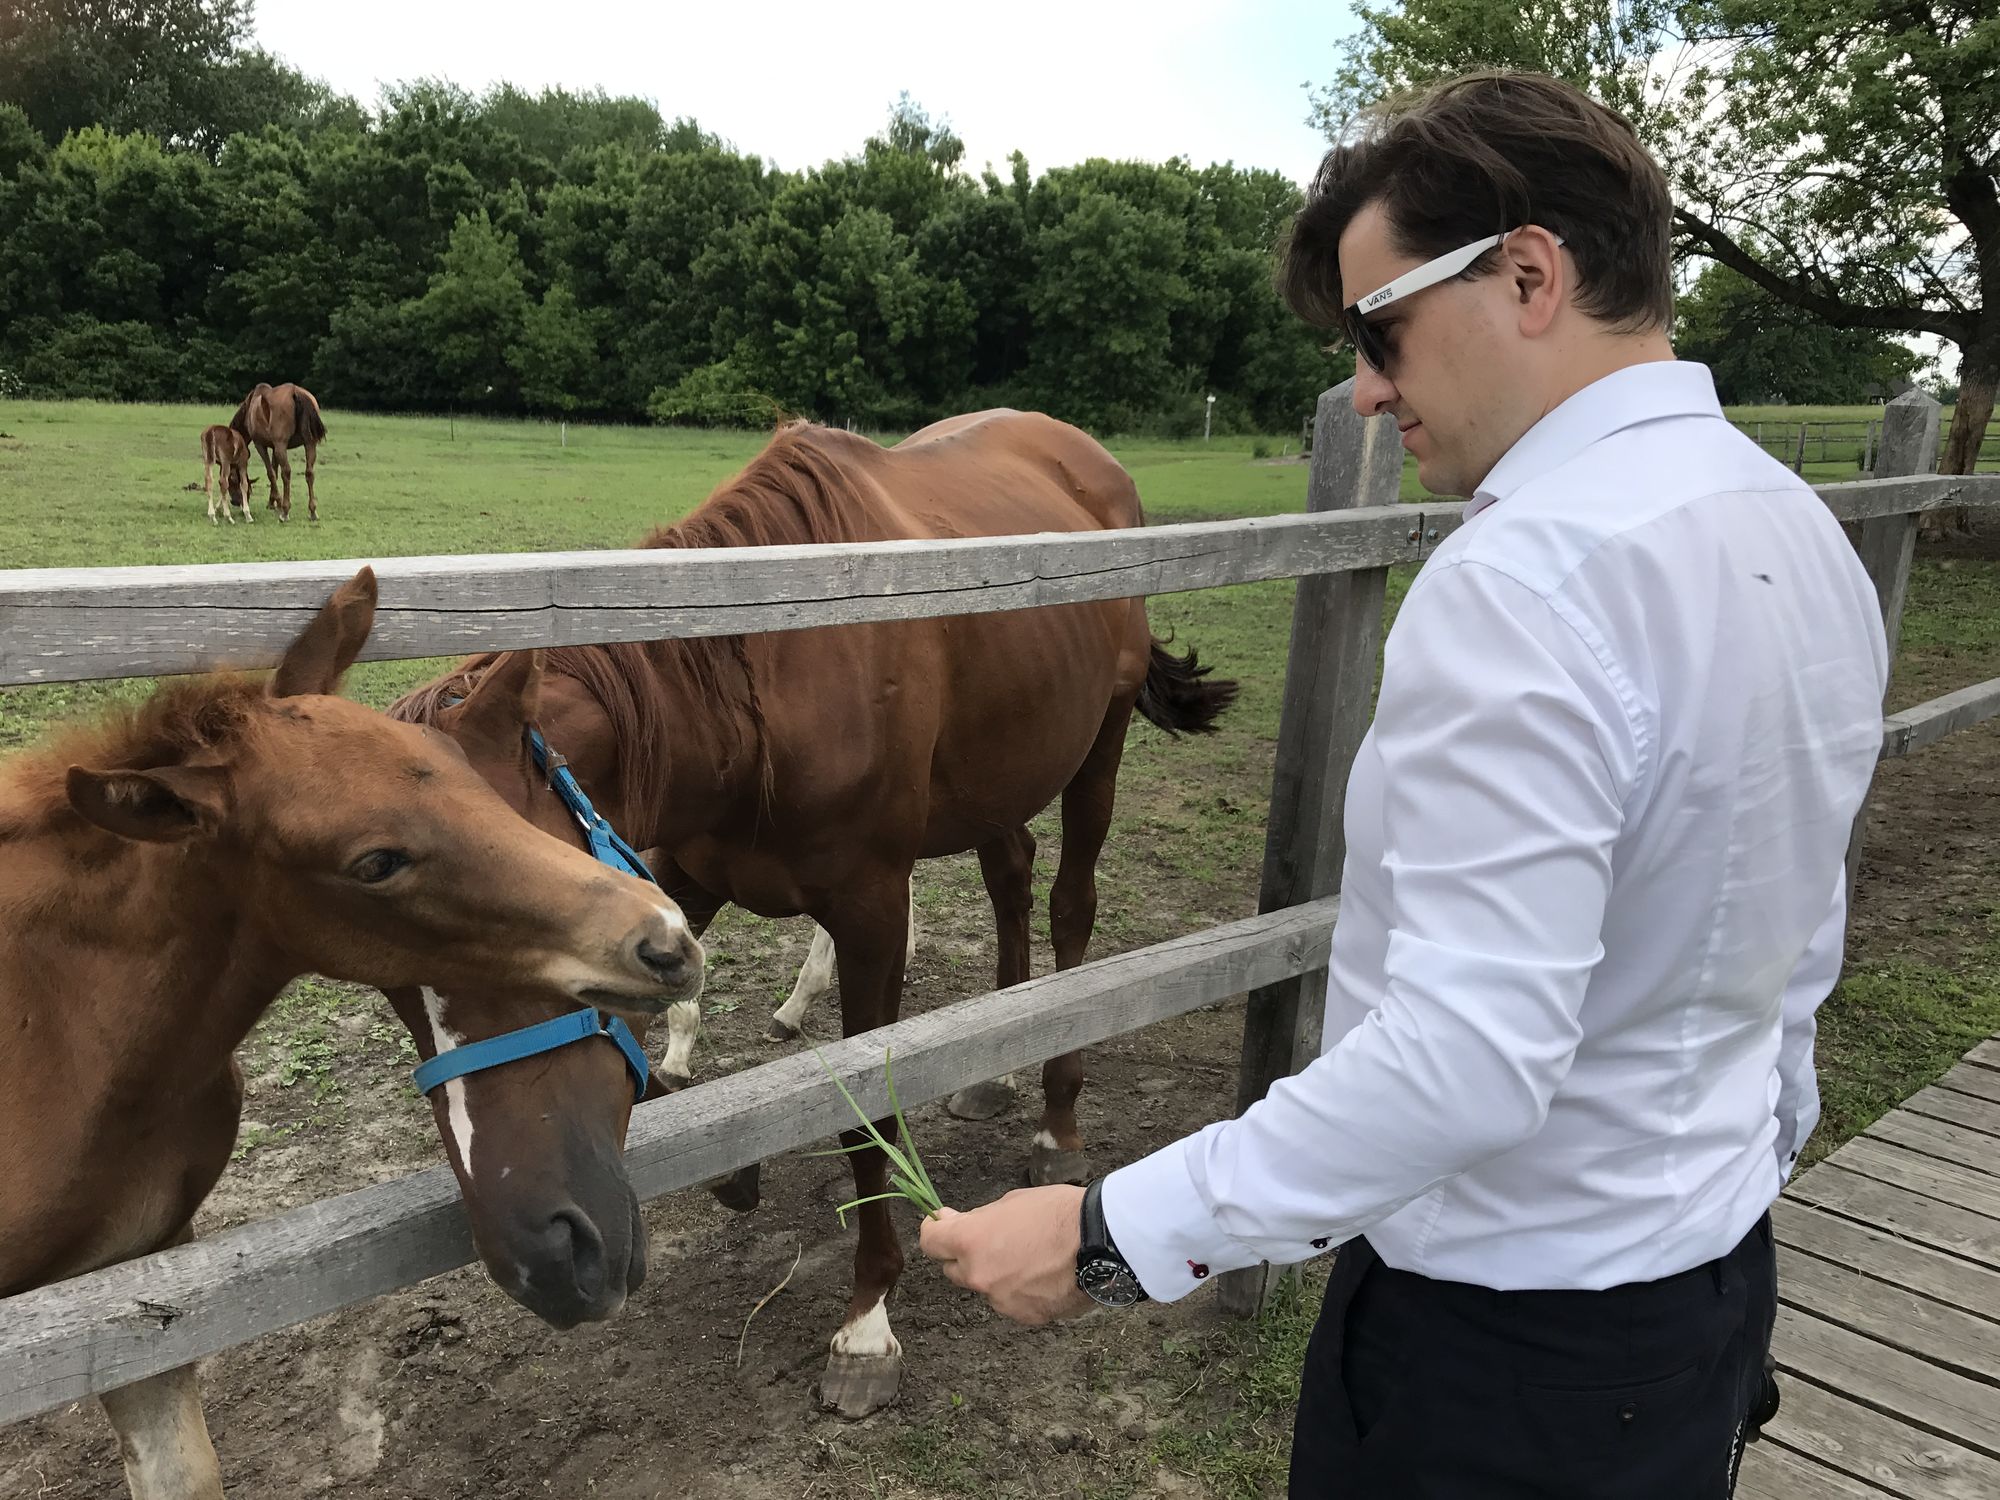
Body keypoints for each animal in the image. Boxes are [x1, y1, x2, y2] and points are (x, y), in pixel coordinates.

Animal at [229, 382, 326, 522]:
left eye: (231, 481)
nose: (235, 502)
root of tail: (295, 392)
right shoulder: (275, 447)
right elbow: (274, 471)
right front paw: (272, 502)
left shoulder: (261, 445)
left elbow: (271, 473)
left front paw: (278, 503)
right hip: (309, 444)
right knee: (309, 473)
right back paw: (312, 511)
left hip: (282, 445)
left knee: (286, 472)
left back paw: (285, 511)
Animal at [385, 408, 1237, 1417]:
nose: (541, 1257)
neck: (756, 696)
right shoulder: (685, 873)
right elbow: (673, 1025)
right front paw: (731, 1159)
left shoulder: (871, 912)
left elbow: (863, 1117)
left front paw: (867, 1328)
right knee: (1012, 881)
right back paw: (991, 1070)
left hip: (1095, 751)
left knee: (1072, 906)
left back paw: (1053, 1123)